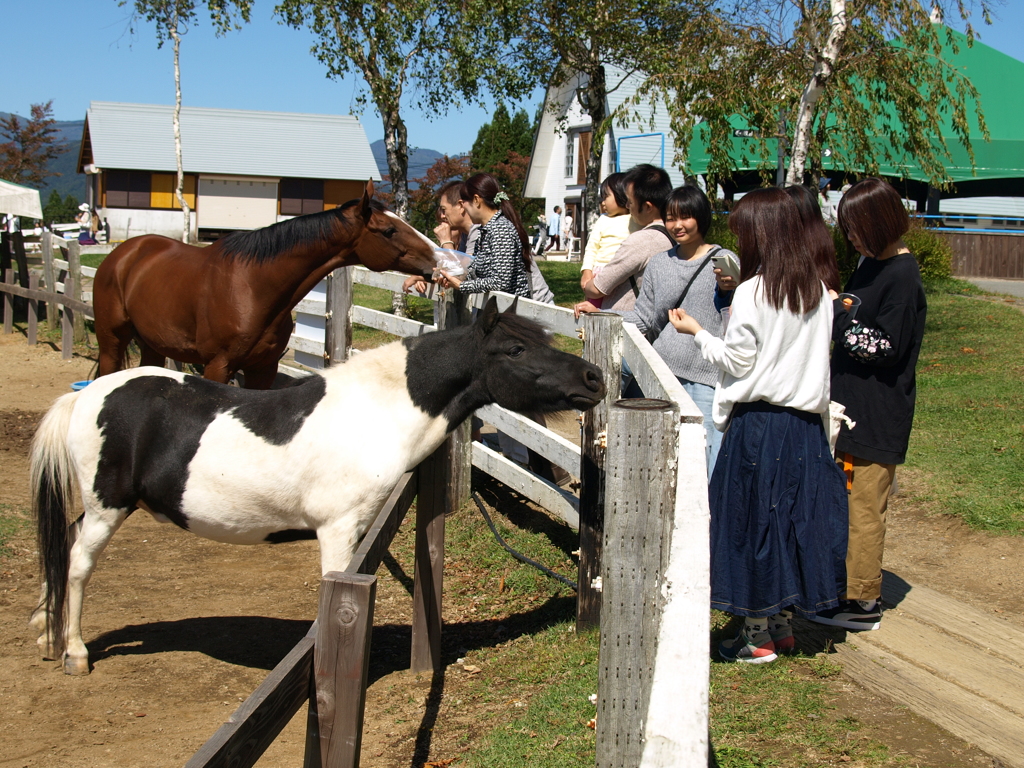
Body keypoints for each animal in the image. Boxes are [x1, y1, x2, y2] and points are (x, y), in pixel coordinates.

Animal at [32, 299, 602, 671]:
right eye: (515, 349)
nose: (594, 378)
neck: (376, 411)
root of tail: (86, 395)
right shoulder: (338, 530)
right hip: (108, 507)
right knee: (78, 563)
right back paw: (74, 652)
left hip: (100, 506)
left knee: (63, 545)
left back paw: (45, 627)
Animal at [91, 182, 436, 391]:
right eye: (389, 230)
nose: (437, 259)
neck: (253, 287)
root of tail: (123, 253)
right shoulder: (217, 366)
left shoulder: (263, 368)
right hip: (112, 341)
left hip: (153, 344)